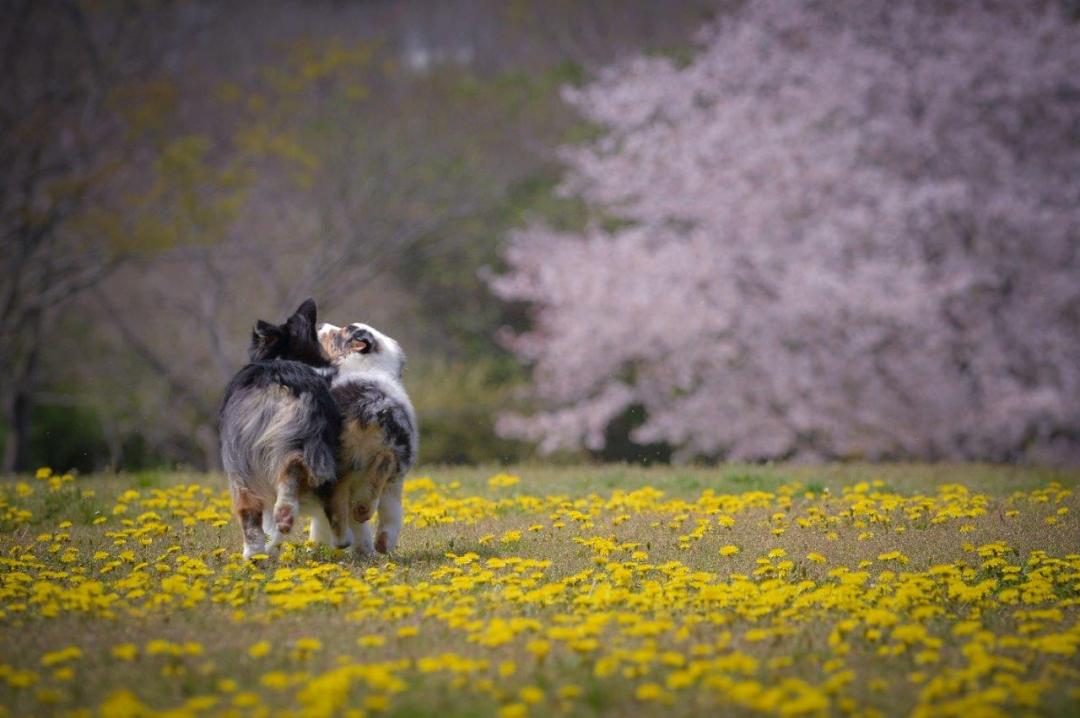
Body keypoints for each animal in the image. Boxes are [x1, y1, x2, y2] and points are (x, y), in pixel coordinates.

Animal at [217, 300, 352, 557]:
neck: (282, 357)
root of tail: (280, 379)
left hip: (240, 458)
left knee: (250, 507)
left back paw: (254, 552)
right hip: (311, 442)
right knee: (304, 476)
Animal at [315, 319, 416, 552]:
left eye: (342, 331)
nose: (320, 325)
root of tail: (364, 410)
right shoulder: (396, 481)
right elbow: (392, 513)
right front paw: (379, 546)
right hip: (394, 455)